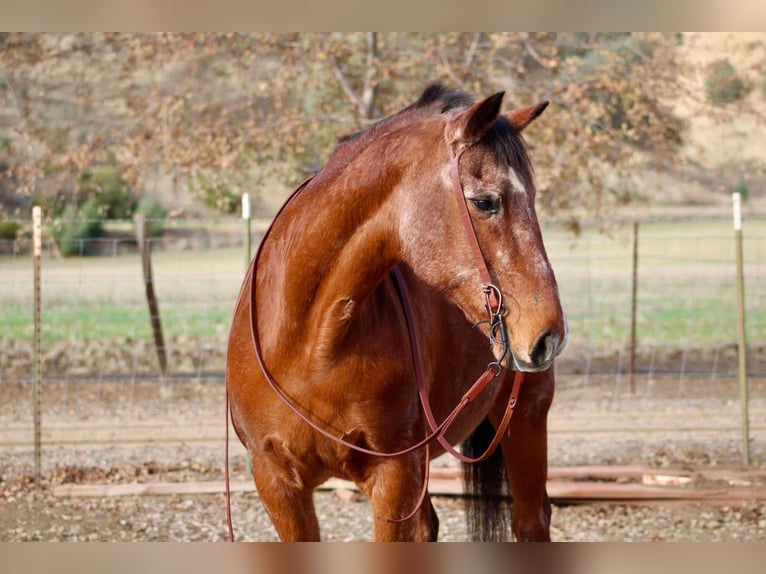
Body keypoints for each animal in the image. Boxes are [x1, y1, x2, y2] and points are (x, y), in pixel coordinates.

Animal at [225, 83, 568, 544]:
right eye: (485, 202)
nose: (550, 335)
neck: (309, 344)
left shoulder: (393, 478)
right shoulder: (277, 482)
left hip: (526, 420)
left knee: (531, 521)